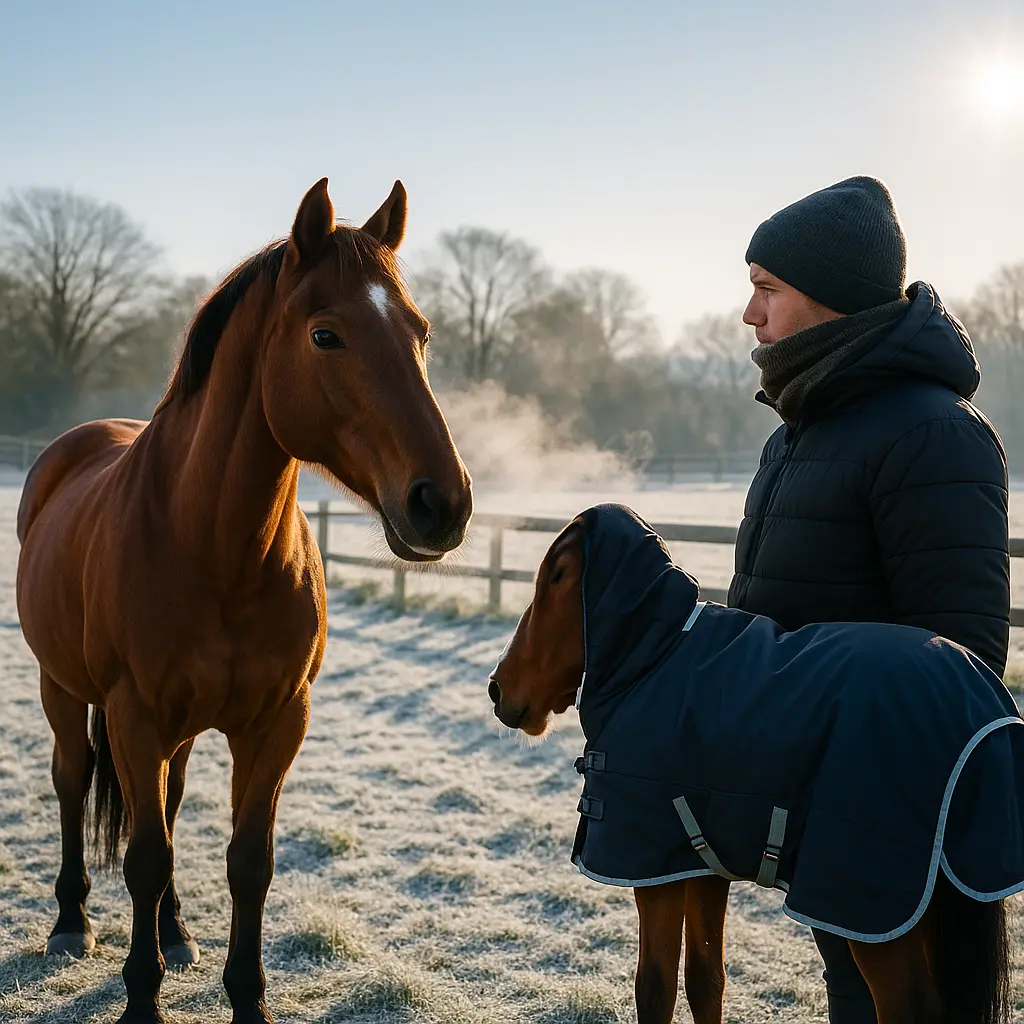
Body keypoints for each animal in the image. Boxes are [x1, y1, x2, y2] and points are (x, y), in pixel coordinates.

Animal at [15, 177, 473, 1024]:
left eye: (421, 333)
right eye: (327, 335)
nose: (442, 504)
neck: (212, 545)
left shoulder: (277, 721)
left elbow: (246, 861)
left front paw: (246, 997)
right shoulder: (134, 716)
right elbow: (146, 857)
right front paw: (141, 1000)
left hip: (181, 730)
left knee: (168, 800)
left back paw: (175, 935)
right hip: (63, 689)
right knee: (71, 781)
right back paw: (71, 923)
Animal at [487, 508, 1015, 1024]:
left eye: (557, 576)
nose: (497, 687)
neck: (652, 659)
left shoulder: (649, 867)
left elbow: (654, 988)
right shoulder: (698, 863)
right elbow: (705, 979)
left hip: (868, 908)